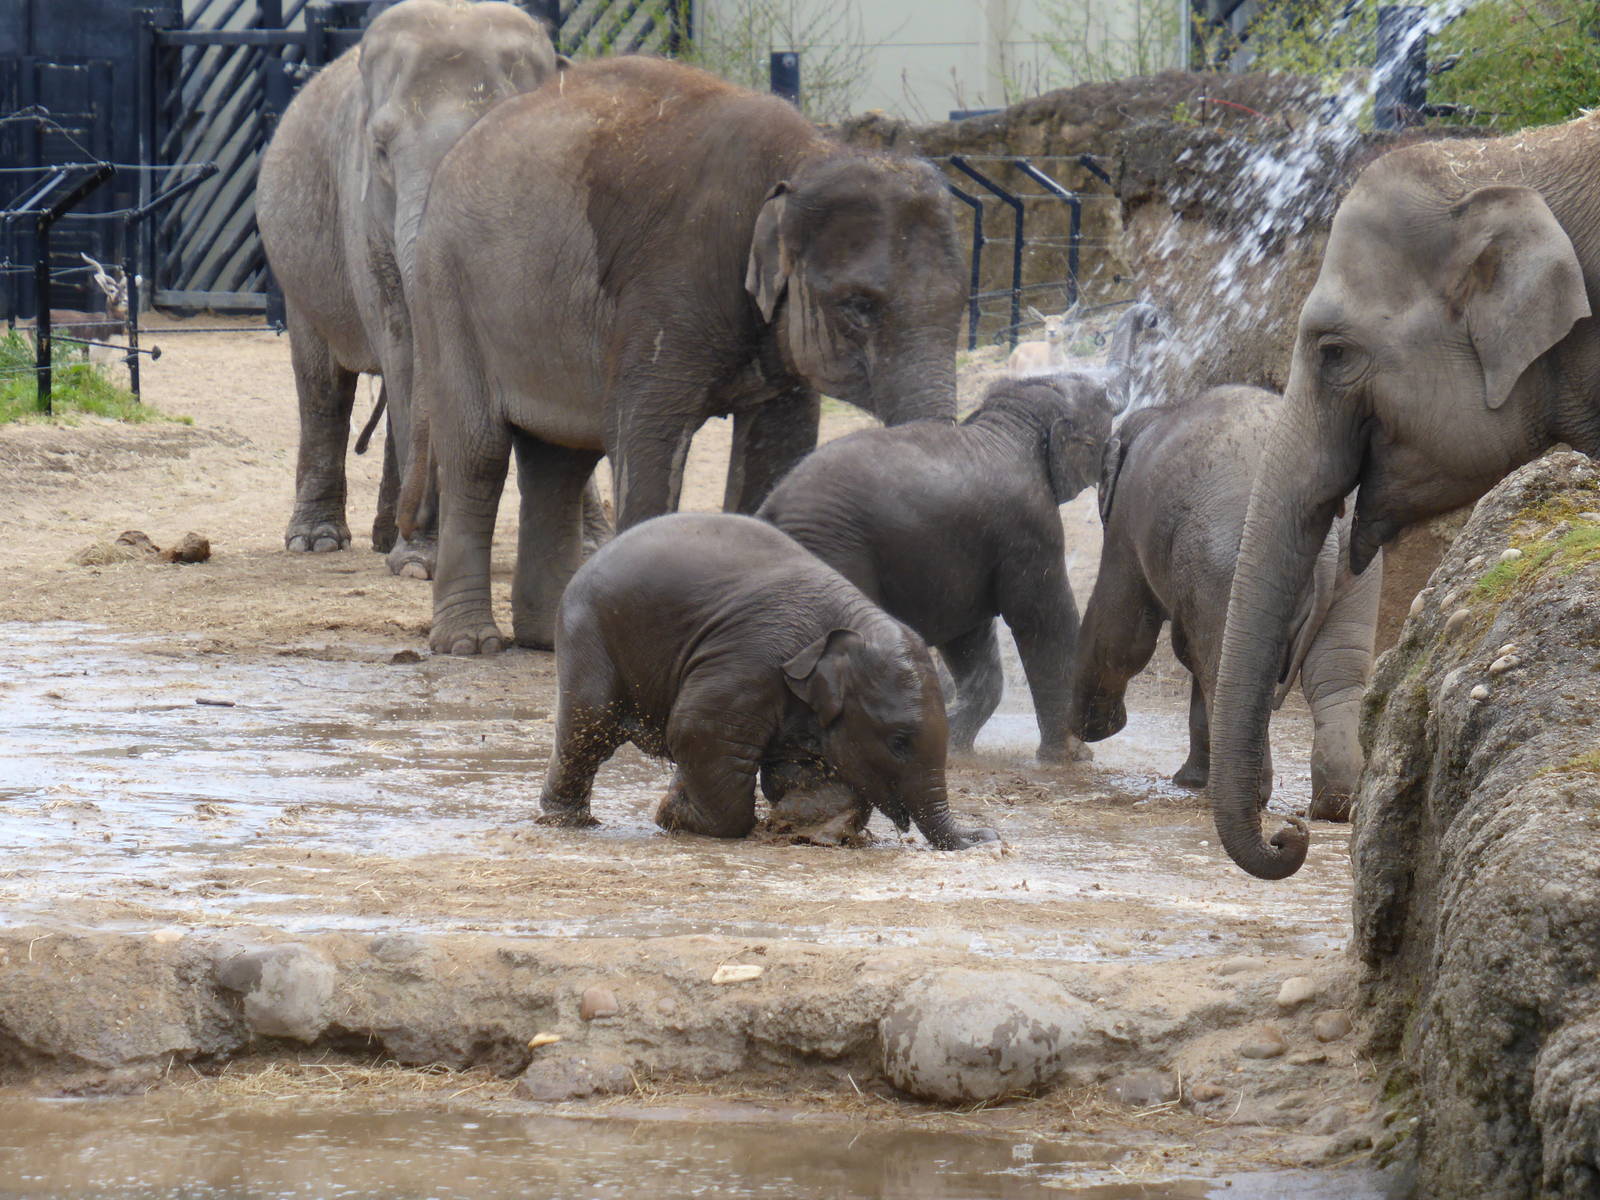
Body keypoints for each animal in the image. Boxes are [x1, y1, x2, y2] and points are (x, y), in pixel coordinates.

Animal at [257, 0, 563, 576]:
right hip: (297, 276)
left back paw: (382, 537)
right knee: (324, 385)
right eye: (379, 150)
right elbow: (402, 340)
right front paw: (420, 563)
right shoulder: (363, 214)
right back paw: (319, 541)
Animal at [396, 56, 965, 656]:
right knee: (480, 452)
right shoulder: (671, 282)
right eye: (858, 306)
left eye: (962, 302)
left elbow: (776, 444)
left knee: (560, 463)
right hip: (448, 294)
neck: (805, 156)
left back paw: (548, 638)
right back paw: (470, 644)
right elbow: (646, 434)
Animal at [537, 512, 1000, 851]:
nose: (989, 836)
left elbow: (797, 771)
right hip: (587, 631)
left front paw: (811, 830)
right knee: (590, 727)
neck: (847, 624)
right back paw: (570, 822)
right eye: (898, 742)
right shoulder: (750, 659)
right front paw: (674, 816)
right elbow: (695, 728)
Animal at [758, 373, 1114, 764]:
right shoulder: (1030, 527)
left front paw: (954, 744)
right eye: (1108, 406)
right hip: (836, 551)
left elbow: (968, 635)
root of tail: (773, 505)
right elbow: (1041, 619)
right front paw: (1073, 755)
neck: (1010, 425)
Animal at [1071, 385, 1382, 822]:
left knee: (1221, 668)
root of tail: (1325, 536)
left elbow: (1122, 635)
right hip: (1354, 571)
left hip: (1225, 562)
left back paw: (1244, 797)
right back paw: (1335, 803)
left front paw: (1091, 730)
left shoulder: (1127, 522)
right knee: (1335, 672)